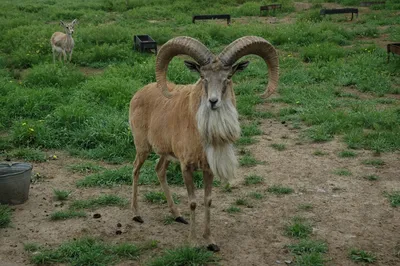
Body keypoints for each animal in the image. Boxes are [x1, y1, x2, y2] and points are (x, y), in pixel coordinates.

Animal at [130, 35, 280, 251]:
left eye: (228, 77)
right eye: (203, 77)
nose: (213, 101)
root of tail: (138, 94)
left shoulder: (208, 169)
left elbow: (207, 200)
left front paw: (210, 242)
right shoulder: (186, 167)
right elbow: (193, 201)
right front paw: (193, 242)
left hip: (166, 153)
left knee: (159, 170)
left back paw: (177, 215)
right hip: (142, 147)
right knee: (135, 170)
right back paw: (136, 214)